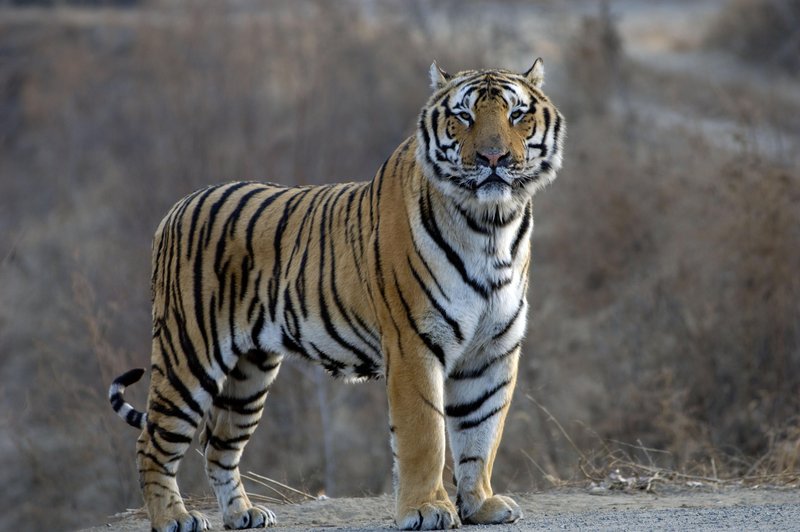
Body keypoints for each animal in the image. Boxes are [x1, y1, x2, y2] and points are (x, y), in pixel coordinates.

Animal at [109, 59, 564, 532]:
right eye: (464, 116)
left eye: (516, 115)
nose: (494, 158)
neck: (492, 224)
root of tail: (175, 208)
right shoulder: (415, 344)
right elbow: (426, 434)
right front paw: (426, 509)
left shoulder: (492, 350)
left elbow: (481, 432)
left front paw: (481, 504)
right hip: (188, 355)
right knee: (153, 442)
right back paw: (173, 518)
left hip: (250, 374)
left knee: (218, 444)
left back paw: (243, 514)